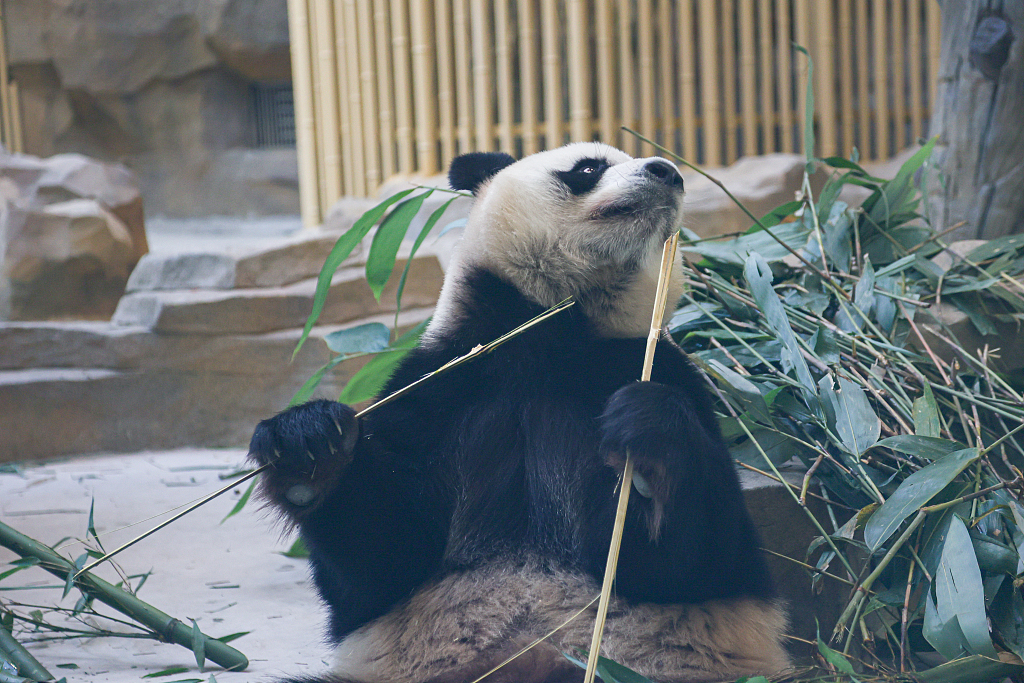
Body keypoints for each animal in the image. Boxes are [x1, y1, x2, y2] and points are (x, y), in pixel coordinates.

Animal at [249, 143, 790, 683]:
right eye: (589, 167)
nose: (668, 172)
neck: (551, 332)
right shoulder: (440, 390)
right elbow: (381, 564)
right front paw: (308, 448)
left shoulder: (654, 370)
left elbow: (699, 563)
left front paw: (646, 434)